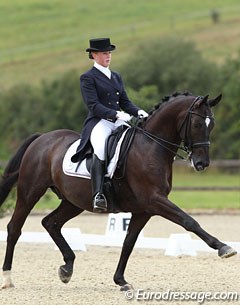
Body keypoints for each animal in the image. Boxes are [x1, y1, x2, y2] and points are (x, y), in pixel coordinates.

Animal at [0, 91, 236, 290]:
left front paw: (120, 280)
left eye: (212, 124)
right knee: (14, 228)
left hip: (73, 201)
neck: (151, 146)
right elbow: (189, 221)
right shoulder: (154, 200)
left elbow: (129, 241)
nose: (202, 164)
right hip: (30, 192)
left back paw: (67, 268)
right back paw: (8, 279)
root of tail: (42, 138)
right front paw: (224, 248)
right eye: (197, 123)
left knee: (51, 223)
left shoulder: (144, 209)